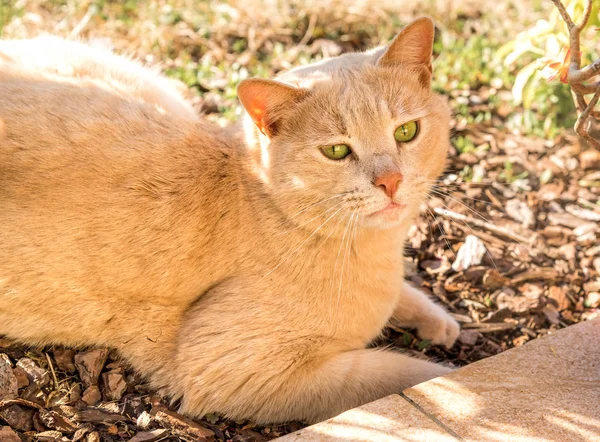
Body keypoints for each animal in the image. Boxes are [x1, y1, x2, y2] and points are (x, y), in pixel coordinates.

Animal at [0, 18, 460, 424]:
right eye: (336, 151)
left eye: (406, 132)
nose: (390, 180)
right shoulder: (238, 374)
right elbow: (411, 376)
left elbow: (407, 296)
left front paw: (440, 322)